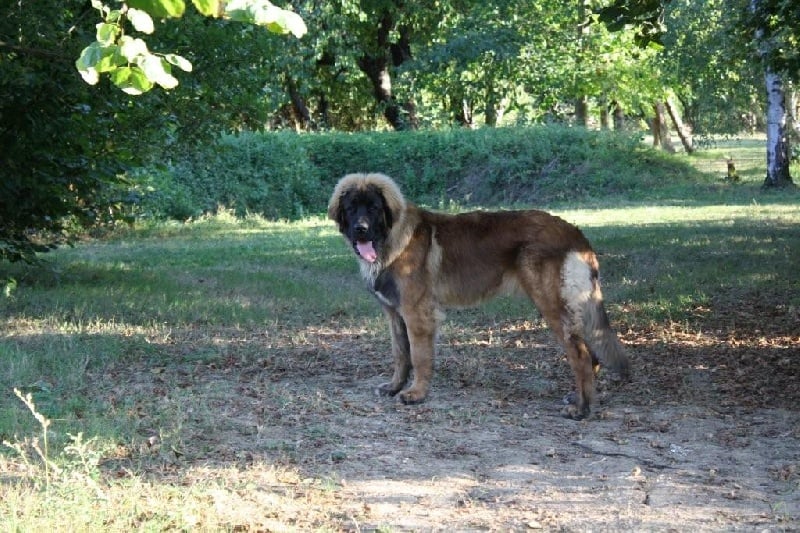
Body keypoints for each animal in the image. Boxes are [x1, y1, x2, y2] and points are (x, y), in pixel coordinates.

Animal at [328, 172, 629, 419]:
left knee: (580, 354)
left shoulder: (417, 314)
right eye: (352, 208)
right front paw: (394, 387)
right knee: (590, 353)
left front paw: (416, 394)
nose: (361, 229)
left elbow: (419, 357)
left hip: (552, 305)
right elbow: (401, 354)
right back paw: (579, 398)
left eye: (374, 208)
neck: (392, 240)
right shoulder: (394, 313)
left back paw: (582, 409)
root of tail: (575, 232)